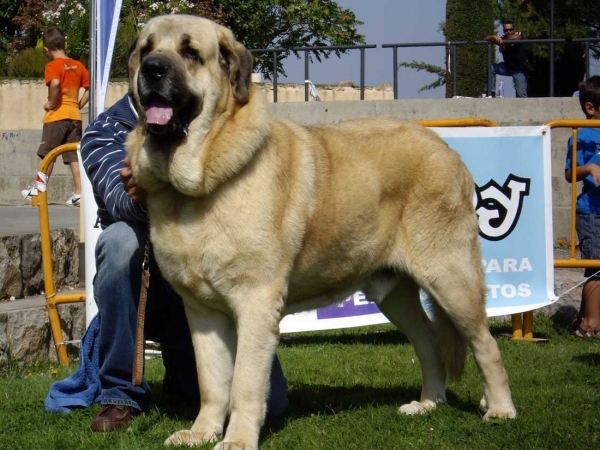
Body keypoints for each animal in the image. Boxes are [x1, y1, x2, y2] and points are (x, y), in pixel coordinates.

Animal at [126, 13, 516, 446]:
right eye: (147, 49)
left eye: (190, 52)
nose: (152, 69)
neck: (195, 186)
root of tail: (448, 149)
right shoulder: (202, 311)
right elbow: (212, 381)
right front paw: (202, 432)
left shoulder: (256, 301)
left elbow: (244, 382)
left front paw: (238, 439)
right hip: (395, 293)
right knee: (428, 340)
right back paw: (428, 403)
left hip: (451, 279)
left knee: (484, 344)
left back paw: (500, 409)